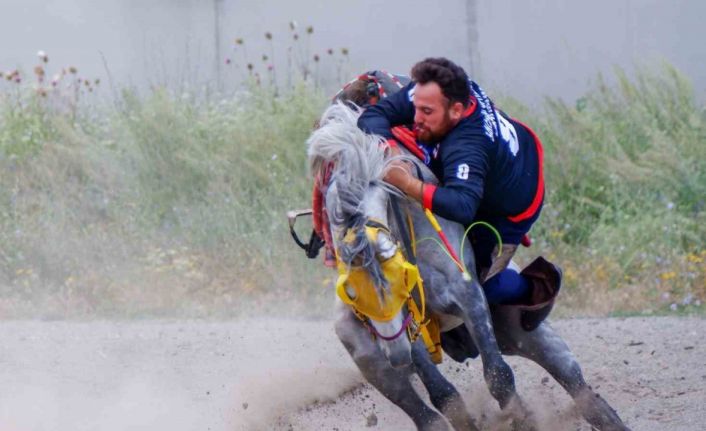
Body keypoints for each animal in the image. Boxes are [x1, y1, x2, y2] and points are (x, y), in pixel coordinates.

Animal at [308, 104, 628, 431]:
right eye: (352, 293)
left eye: (401, 278)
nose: (397, 356)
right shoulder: (405, 329)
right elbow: (444, 395)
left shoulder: (469, 297)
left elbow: (499, 376)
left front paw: (521, 418)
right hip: (371, 358)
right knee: (425, 414)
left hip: (533, 336)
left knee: (583, 394)